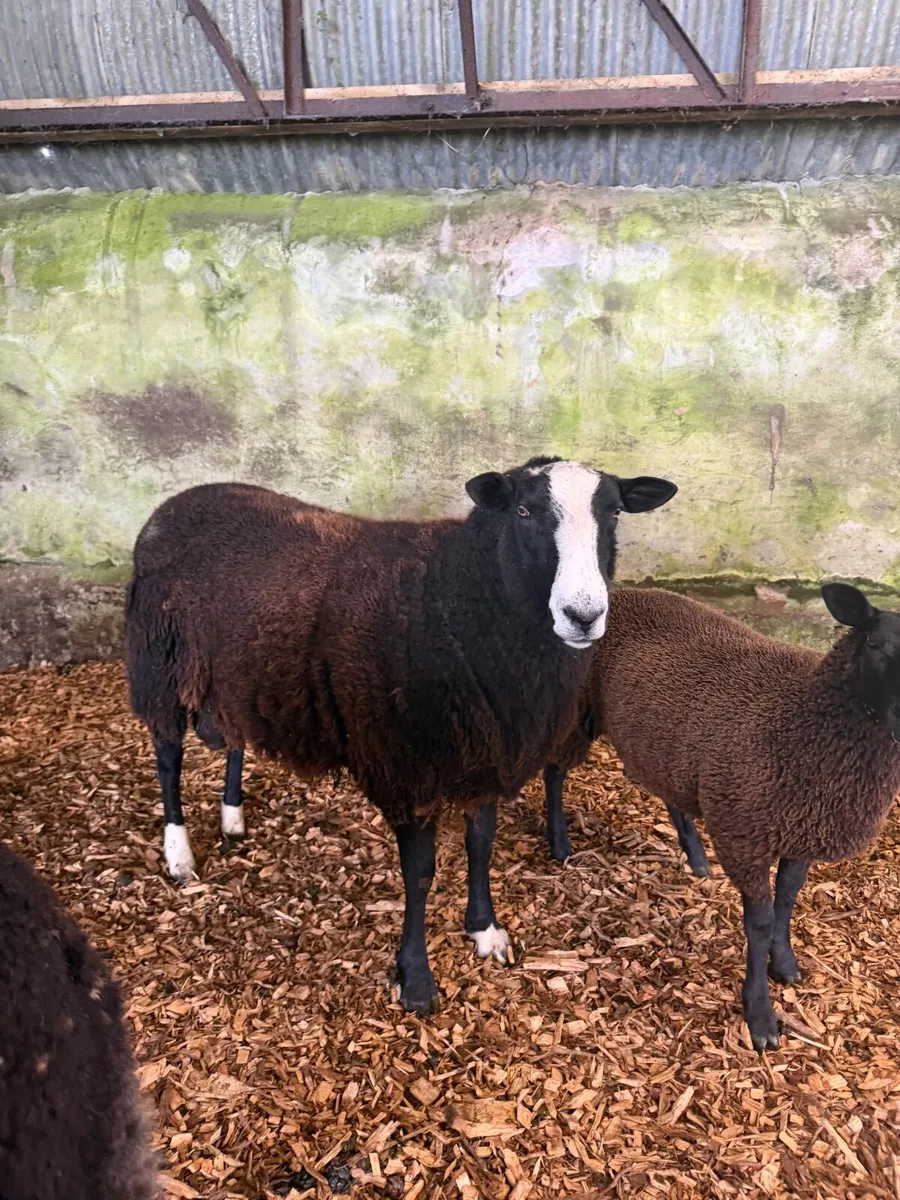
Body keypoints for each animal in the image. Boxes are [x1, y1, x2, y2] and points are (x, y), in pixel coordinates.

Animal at [125, 459, 677, 1013]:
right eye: (523, 510)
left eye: (614, 512)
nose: (584, 616)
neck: (450, 595)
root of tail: (178, 500)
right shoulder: (408, 763)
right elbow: (420, 874)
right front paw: (415, 979)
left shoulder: (485, 751)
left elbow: (481, 843)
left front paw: (484, 929)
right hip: (162, 660)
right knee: (168, 756)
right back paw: (179, 855)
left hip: (236, 671)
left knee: (233, 736)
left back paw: (232, 819)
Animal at [542, 583, 900, 1049]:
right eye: (874, 643)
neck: (804, 717)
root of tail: (618, 594)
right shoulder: (744, 835)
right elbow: (761, 922)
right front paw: (760, 1015)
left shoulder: (801, 828)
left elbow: (787, 902)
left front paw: (785, 965)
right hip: (579, 711)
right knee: (553, 770)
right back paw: (559, 842)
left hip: (665, 742)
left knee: (670, 792)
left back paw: (695, 857)